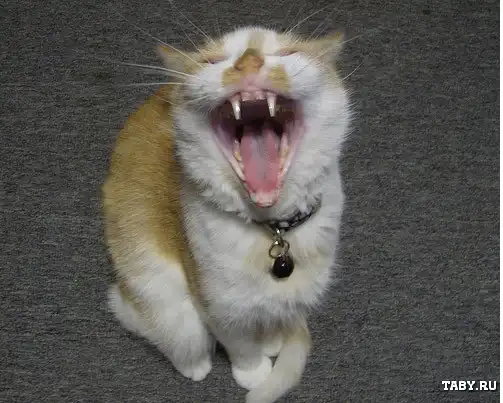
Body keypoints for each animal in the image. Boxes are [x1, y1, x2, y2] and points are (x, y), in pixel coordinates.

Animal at [103, 26, 351, 403]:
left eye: (287, 53)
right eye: (212, 61)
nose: (249, 61)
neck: (275, 231)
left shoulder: (290, 296)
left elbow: (273, 316)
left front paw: (273, 340)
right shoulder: (216, 303)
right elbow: (239, 344)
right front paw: (253, 372)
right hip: (157, 290)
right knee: (158, 324)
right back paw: (193, 365)